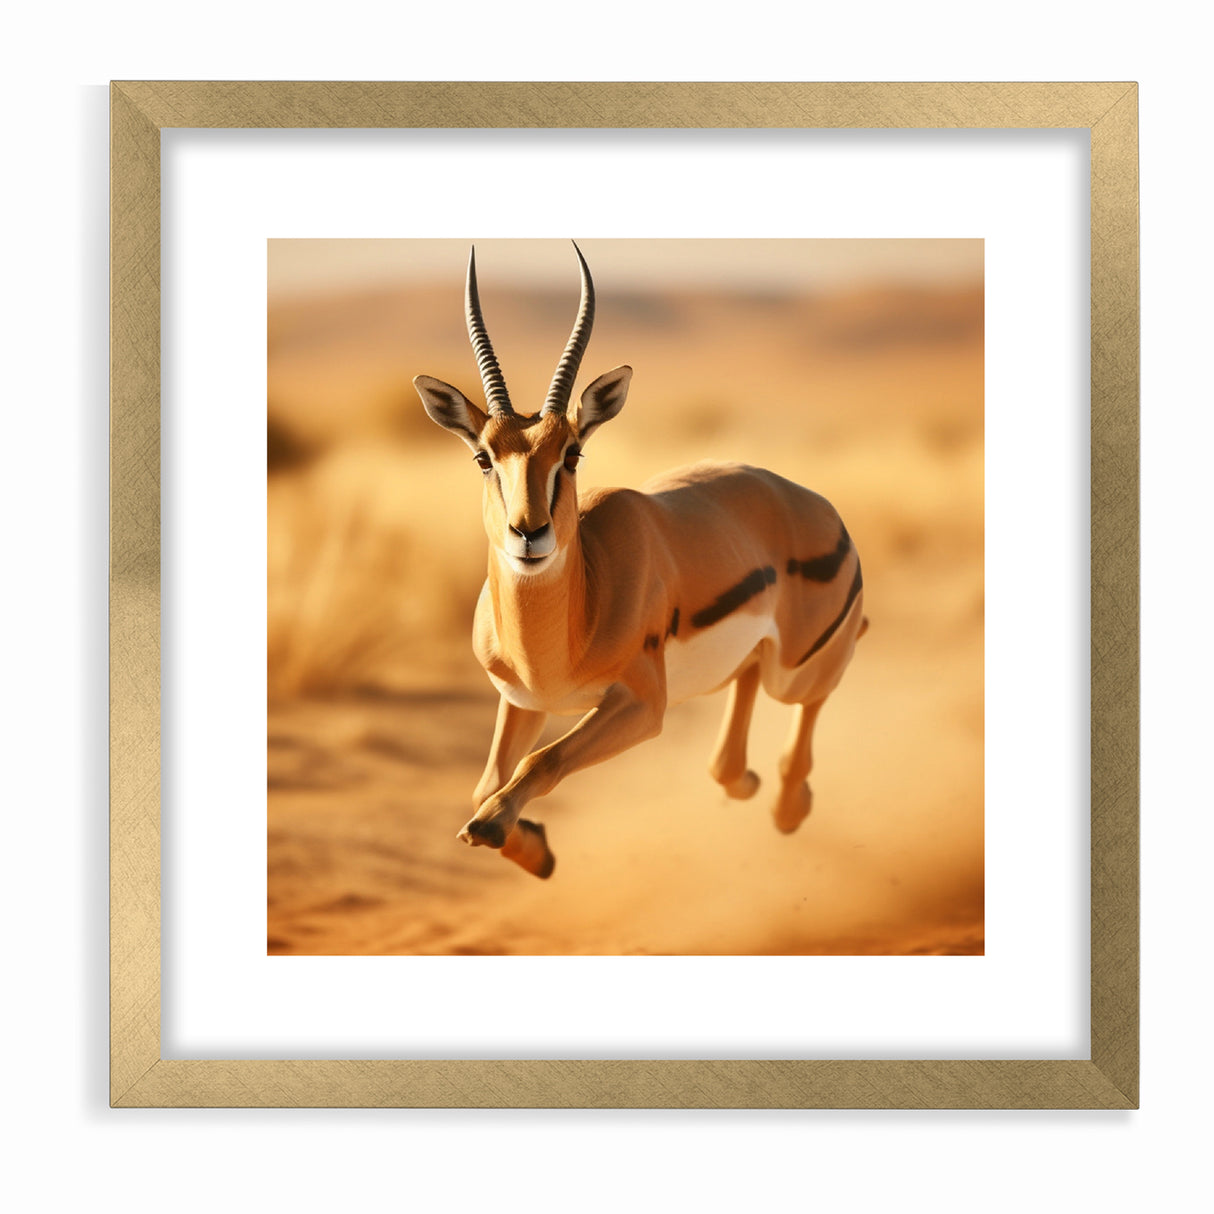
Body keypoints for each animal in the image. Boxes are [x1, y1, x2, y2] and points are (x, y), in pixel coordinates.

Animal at [414, 243, 867, 879]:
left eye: (572, 453)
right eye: (484, 457)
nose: (529, 533)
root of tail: (817, 505)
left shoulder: (643, 705)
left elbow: (537, 764)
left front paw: (499, 829)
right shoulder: (523, 702)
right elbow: (486, 784)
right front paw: (536, 850)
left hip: (796, 670)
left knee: (822, 678)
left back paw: (787, 806)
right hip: (761, 662)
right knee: (742, 699)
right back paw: (746, 784)